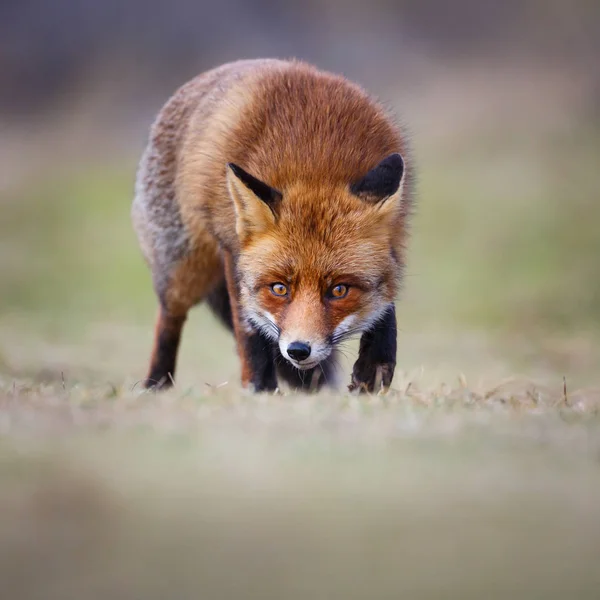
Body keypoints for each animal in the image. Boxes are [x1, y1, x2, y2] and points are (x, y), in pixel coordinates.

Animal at [131, 57, 412, 394]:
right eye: (279, 288)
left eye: (339, 290)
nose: (298, 350)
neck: (314, 159)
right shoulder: (234, 251)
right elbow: (250, 331)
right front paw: (261, 389)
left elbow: (386, 302)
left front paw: (374, 365)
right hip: (183, 271)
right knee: (169, 319)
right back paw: (156, 384)